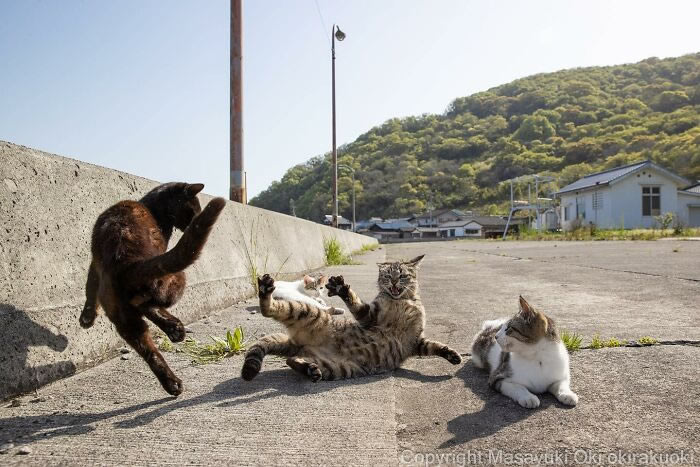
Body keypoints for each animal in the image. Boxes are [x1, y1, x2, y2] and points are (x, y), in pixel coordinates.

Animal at [80, 182, 226, 394]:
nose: (194, 220)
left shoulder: (95, 263)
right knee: (151, 304)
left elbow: (90, 289)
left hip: (124, 317)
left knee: (149, 350)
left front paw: (87, 317)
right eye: (194, 209)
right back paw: (175, 330)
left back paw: (172, 382)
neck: (154, 206)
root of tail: (127, 262)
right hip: (175, 278)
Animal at [243, 256, 462, 384]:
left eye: (401, 276)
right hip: (306, 311)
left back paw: (309, 370)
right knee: (268, 310)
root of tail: (295, 342)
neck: (401, 300)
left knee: (292, 360)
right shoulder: (370, 316)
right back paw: (265, 289)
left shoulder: (416, 341)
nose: (392, 282)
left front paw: (452, 355)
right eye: (387, 276)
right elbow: (356, 302)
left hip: (332, 366)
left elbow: (433, 345)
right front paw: (341, 288)